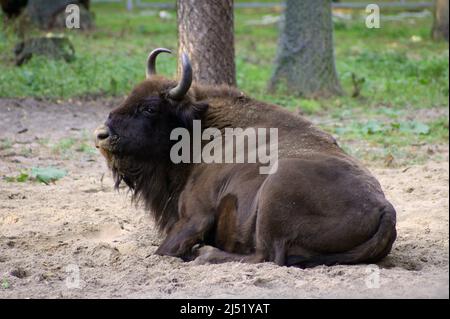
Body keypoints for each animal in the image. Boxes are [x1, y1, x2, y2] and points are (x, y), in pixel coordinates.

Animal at [93, 48, 396, 268]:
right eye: (128, 97)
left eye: (149, 108)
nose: (101, 135)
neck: (201, 127)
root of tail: (385, 208)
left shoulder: (195, 216)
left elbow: (164, 250)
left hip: (274, 192)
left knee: (266, 256)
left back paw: (205, 253)